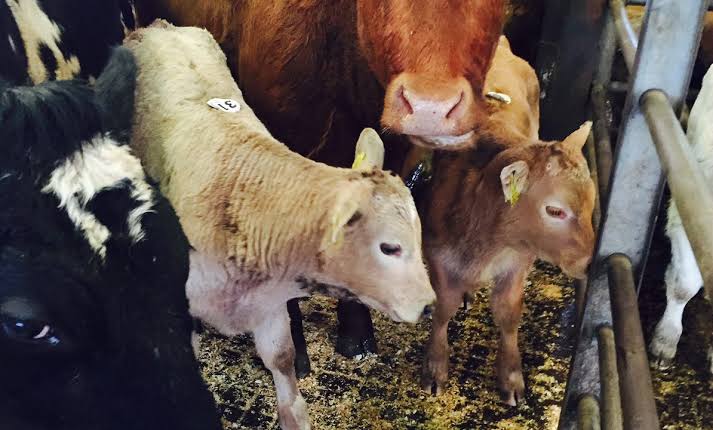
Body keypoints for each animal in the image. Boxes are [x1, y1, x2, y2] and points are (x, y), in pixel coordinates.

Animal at [419, 37, 595, 406]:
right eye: (555, 211)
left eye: (591, 204)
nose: (590, 263)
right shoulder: (437, 252)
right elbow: (443, 307)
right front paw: (435, 367)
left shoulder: (519, 260)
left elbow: (509, 313)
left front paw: (512, 376)